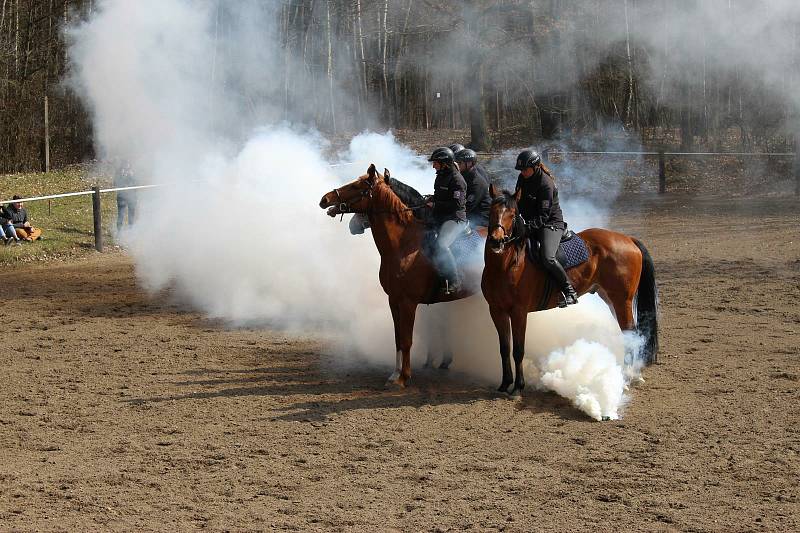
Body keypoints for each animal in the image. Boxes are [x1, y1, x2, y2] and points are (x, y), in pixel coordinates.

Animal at [320, 164, 488, 384]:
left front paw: (404, 377)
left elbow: (407, 340)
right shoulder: (394, 300)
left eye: (356, 186)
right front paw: (395, 373)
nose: (325, 199)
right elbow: (398, 339)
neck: (405, 244)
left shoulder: (409, 302)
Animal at [482, 183, 656, 394]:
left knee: (630, 332)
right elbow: (504, 348)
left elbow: (518, 350)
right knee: (629, 333)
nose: (496, 240)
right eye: (491, 211)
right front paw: (505, 383)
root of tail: (628, 239)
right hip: (611, 299)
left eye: (513, 214)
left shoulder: (519, 312)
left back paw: (630, 376)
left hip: (622, 300)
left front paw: (518, 387)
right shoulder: (496, 311)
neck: (506, 266)